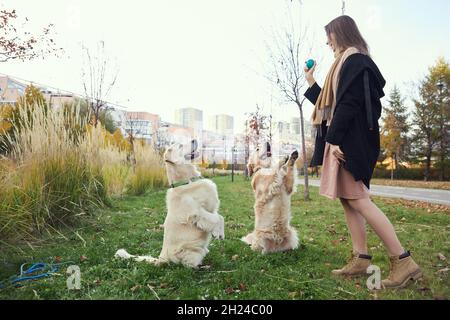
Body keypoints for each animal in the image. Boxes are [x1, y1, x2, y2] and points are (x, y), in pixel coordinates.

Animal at [114, 140, 223, 268]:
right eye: (180, 146)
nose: (194, 140)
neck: (186, 182)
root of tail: (161, 258)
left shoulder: (210, 209)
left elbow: (219, 217)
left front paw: (219, 232)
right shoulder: (196, 212)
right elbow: (216, 218)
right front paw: (218, 233)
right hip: (191, 251)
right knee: (188, 265)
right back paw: (203, 267)